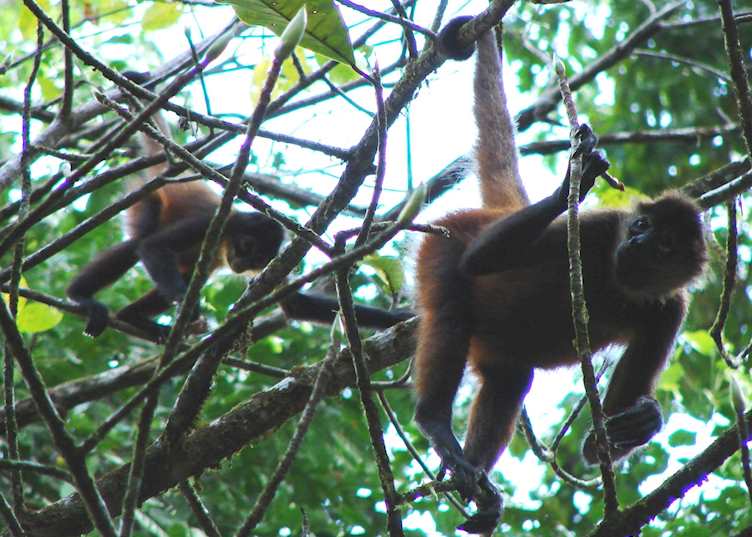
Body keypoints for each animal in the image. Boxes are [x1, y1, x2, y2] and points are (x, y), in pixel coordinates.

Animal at [67, 72, 412, 341]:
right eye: (246, 246)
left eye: (256, 259)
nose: (241, 264)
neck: (227, 239)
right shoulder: (213, 223)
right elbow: (152, 247)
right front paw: (187, 305)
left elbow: (295, 306)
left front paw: (402, 319)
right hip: (147, 200)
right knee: (138, 243)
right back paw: (81, 298)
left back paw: (134, 318)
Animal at [413, 18, 707, 534]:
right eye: (641, 226)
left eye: (664, 245)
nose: (637, 243)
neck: (618, 281)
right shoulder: (599, 229)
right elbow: (479, 261)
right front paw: (577, 177)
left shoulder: (670, 309)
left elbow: (593, 448)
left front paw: (644, 421)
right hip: (442, 241)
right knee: (451, 304)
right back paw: (433, 422)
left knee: (510, 378)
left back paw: (478, 490)